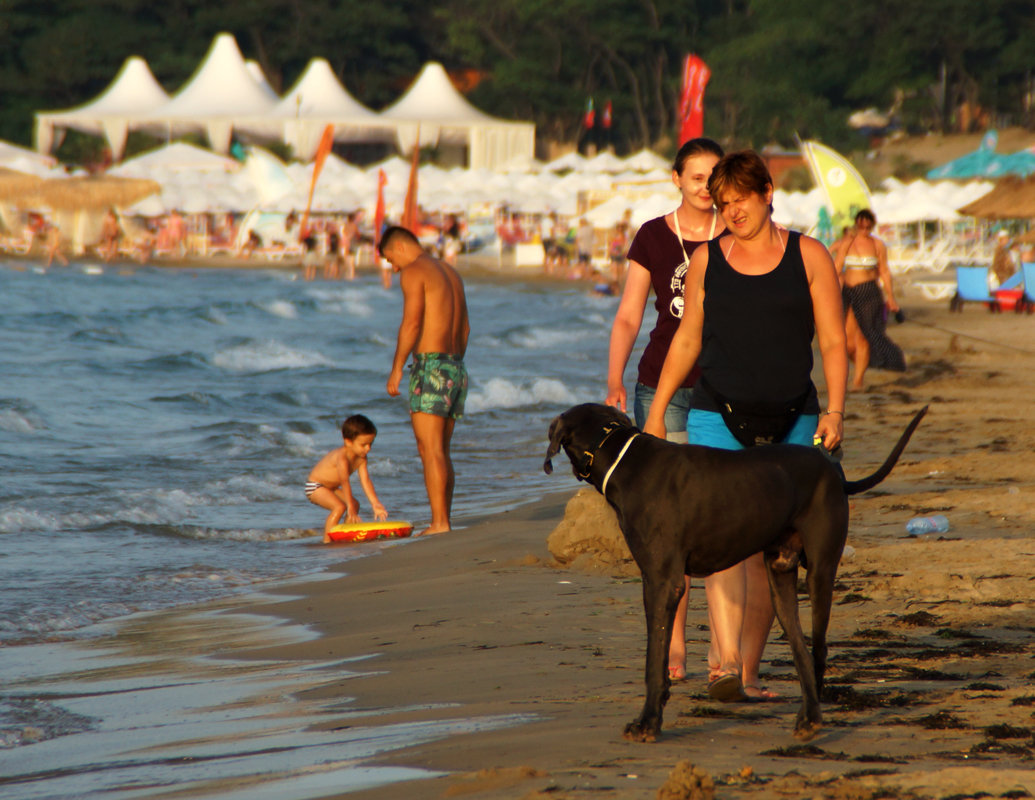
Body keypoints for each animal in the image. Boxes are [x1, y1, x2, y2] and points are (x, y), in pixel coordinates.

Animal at [546, 405, 927, 741]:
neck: (617, 452)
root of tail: (833, 471)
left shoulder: (661, 582)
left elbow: (654, 660)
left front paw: (648, 723)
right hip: (780, 574)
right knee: (801, 649)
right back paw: (806, 715)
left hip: (820, 571)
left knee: (818, 650)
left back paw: (813, 717)